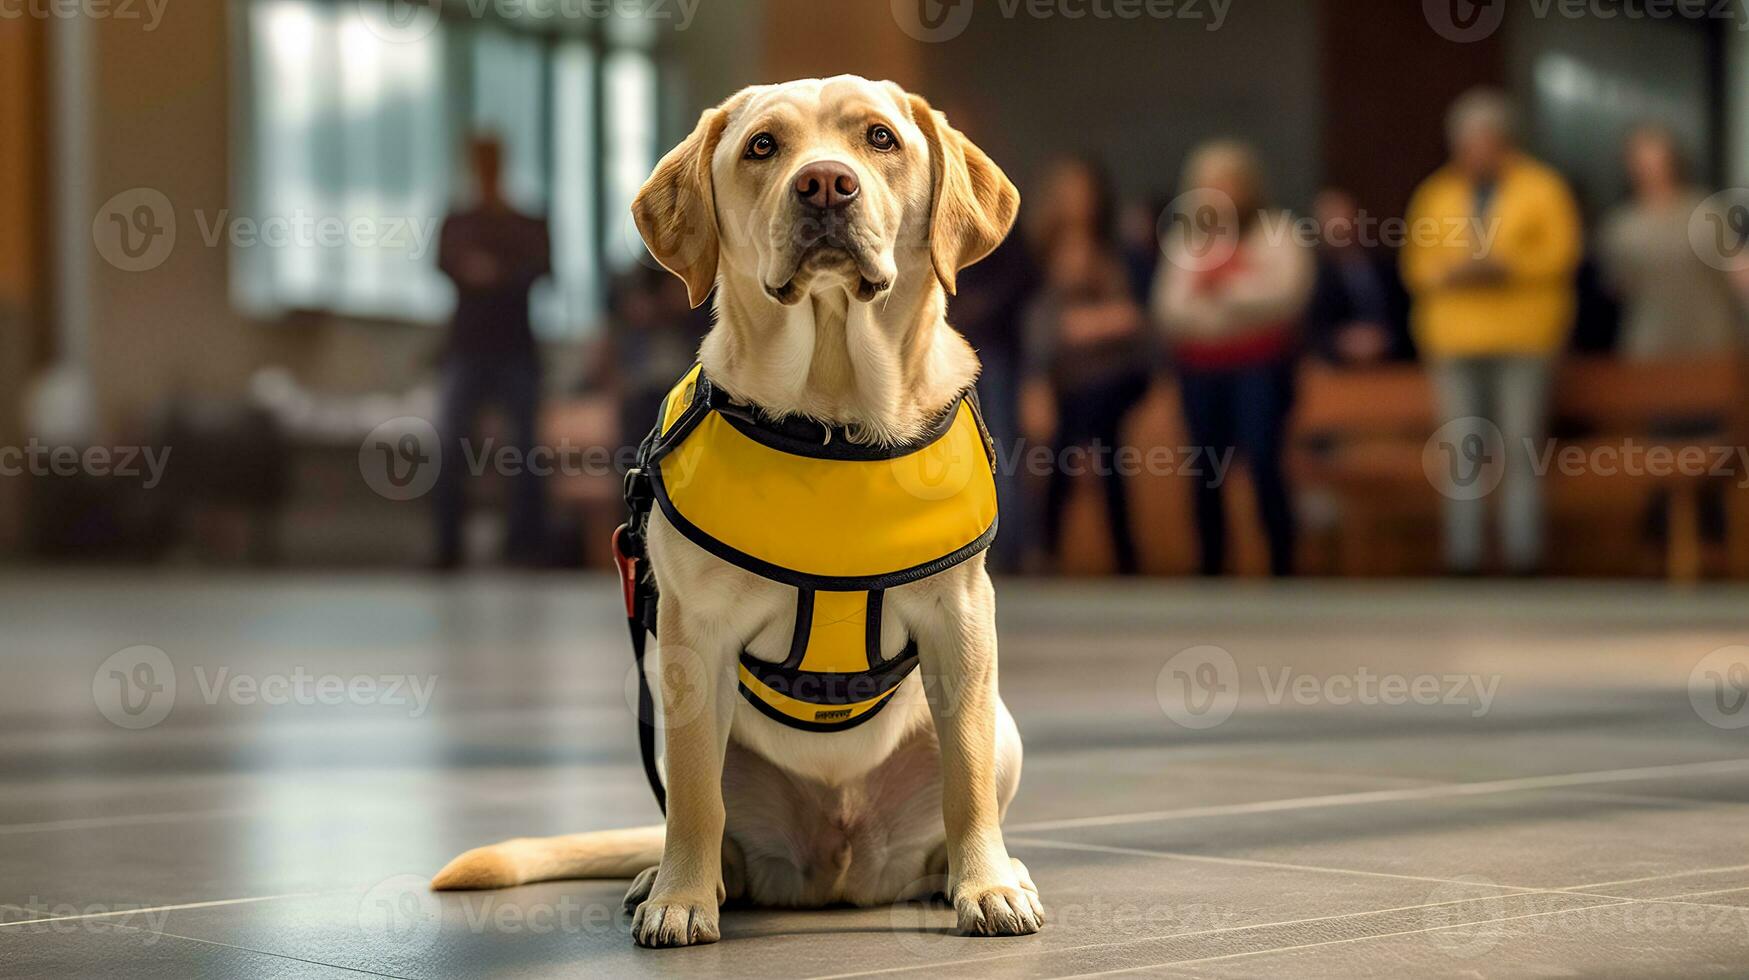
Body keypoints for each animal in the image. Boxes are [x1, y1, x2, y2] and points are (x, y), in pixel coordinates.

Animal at [435, 74, 1035, 952]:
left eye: (879, 138)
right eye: (762, 146)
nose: (825, 184)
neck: (832, 417)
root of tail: (837, 869)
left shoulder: (960, 621)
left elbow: (965, 776)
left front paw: (986, 885)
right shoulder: (694, 640)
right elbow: (694, 797)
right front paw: (682, 899)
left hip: (1004, 727)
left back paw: (975, 871)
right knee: (700, 816)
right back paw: (675, 878)